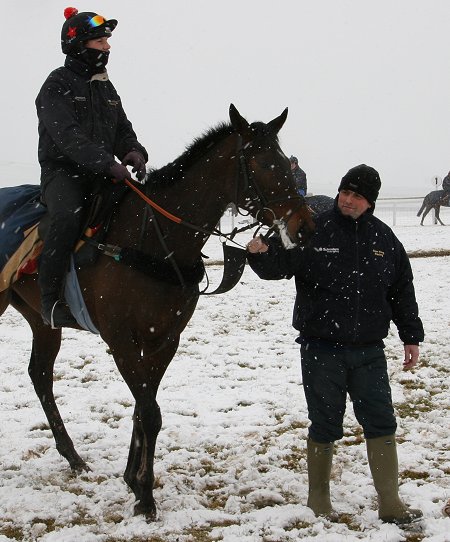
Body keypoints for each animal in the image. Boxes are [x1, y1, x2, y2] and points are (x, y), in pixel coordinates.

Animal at [0, 105, 312, 520]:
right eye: (263, 162)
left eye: (285, 161)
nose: (304, 225)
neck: (152, 240)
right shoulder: (121, 340)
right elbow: (150, 412)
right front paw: (145, 495)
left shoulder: (164, 338)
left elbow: (142, 408)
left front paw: (133, 480)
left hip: (42, 319)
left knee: (40, 375)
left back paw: (73, 457)